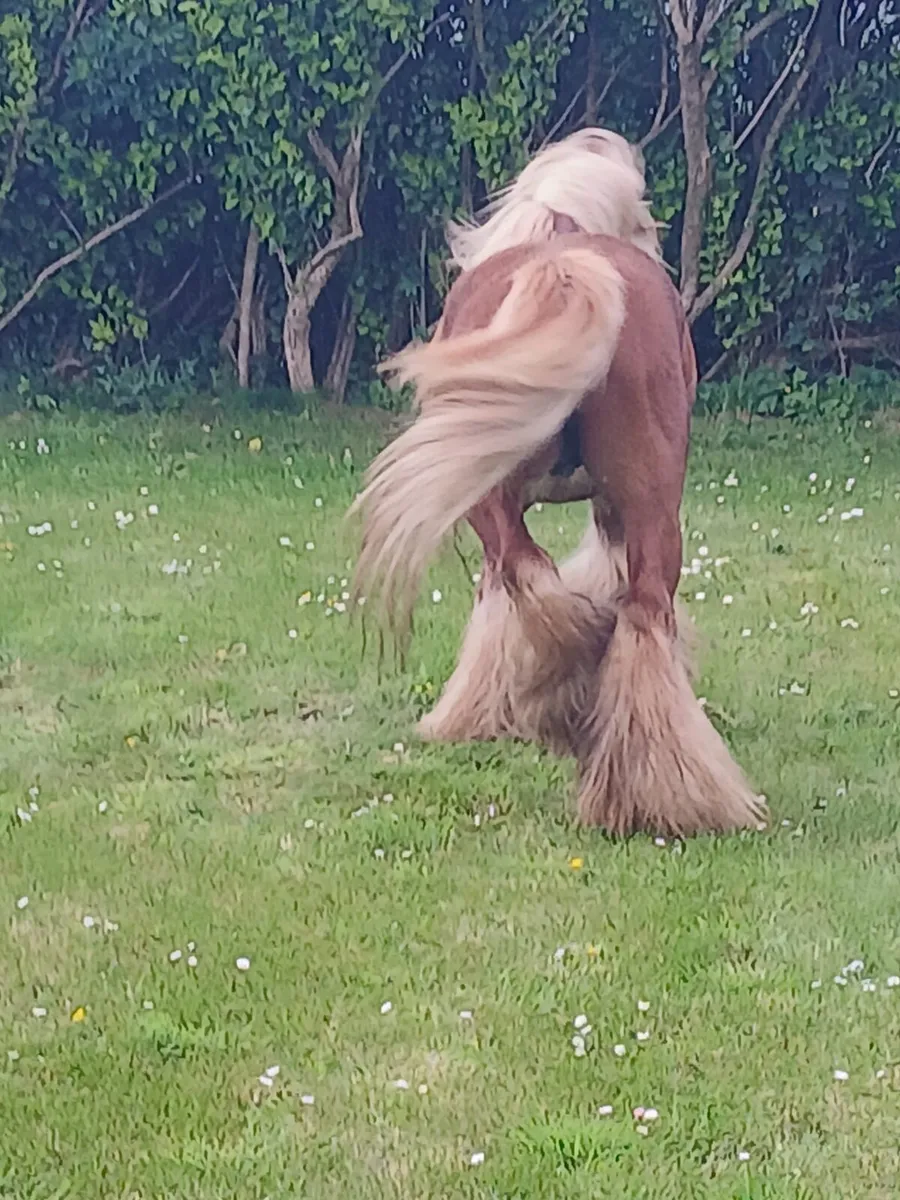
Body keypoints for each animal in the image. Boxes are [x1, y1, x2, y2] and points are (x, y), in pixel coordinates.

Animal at [350, 128, 766, 839]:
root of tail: (566, 268)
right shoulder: (608, 511)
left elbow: (501, 593)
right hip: (645, 507)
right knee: (635, 608)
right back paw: (655, 784)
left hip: (495, 497)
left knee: (532, 573)